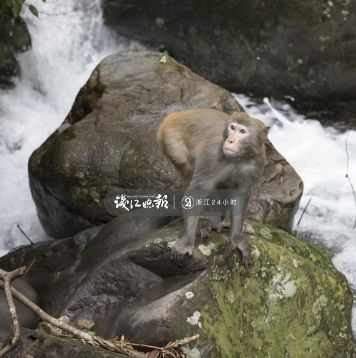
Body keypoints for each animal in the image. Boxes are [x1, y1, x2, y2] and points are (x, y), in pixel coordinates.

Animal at [157, 108, 268, 262]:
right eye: (232, 128)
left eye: (242, 131)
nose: (230, 140)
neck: (239, 158)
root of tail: (176, 115)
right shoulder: (212, 155)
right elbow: (197, 193)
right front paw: (187, 241)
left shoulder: (257, 162)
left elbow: (240, 195)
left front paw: (236, 238)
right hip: (172, 142)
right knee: (188, 170)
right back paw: (209, 220)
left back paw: (223, 220)